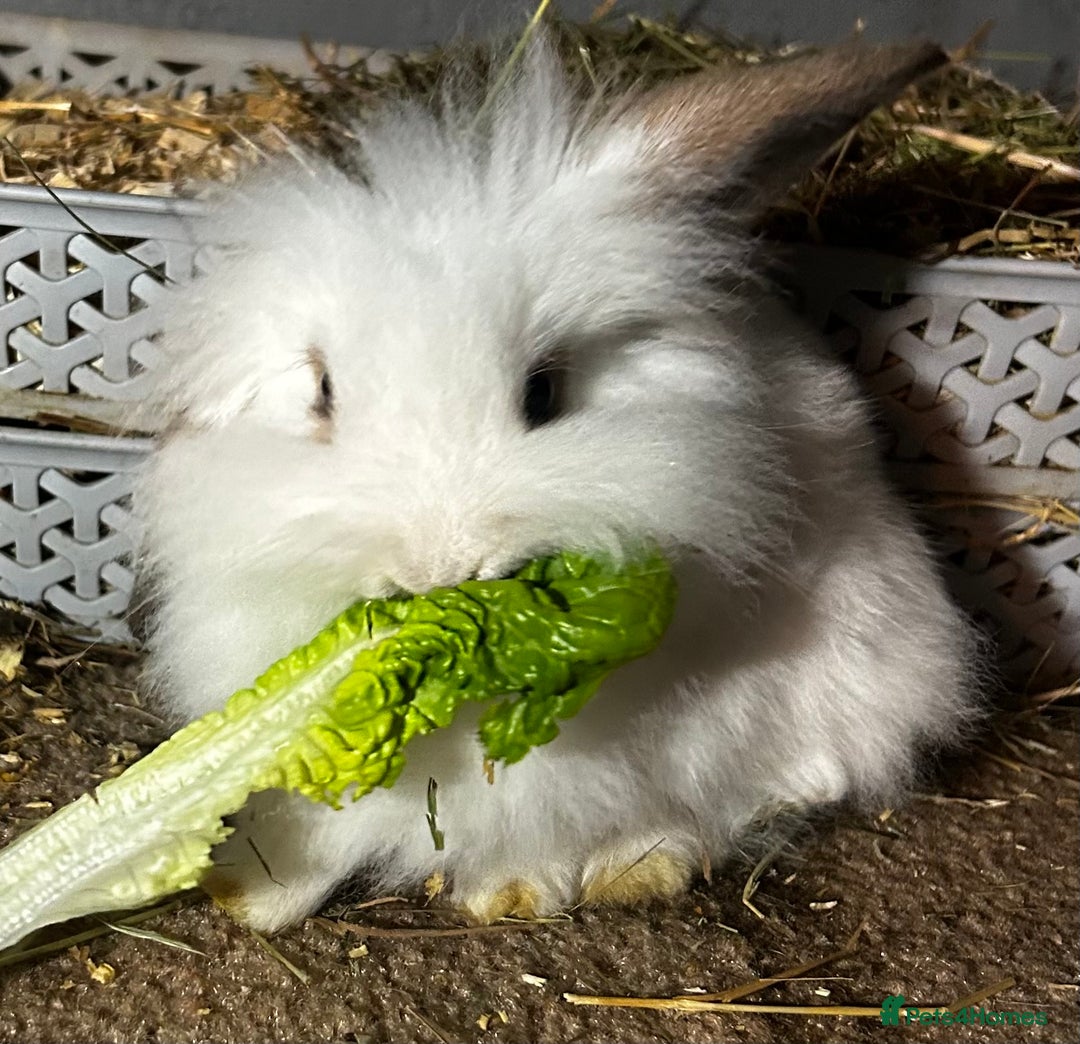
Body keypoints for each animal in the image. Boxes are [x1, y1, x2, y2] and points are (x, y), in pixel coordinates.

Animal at [132, 36, 981, 932]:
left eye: (544, 392)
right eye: (324, 390)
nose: (438, 573)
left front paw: (514, 892)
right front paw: (249, 888)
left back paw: (635, 871)